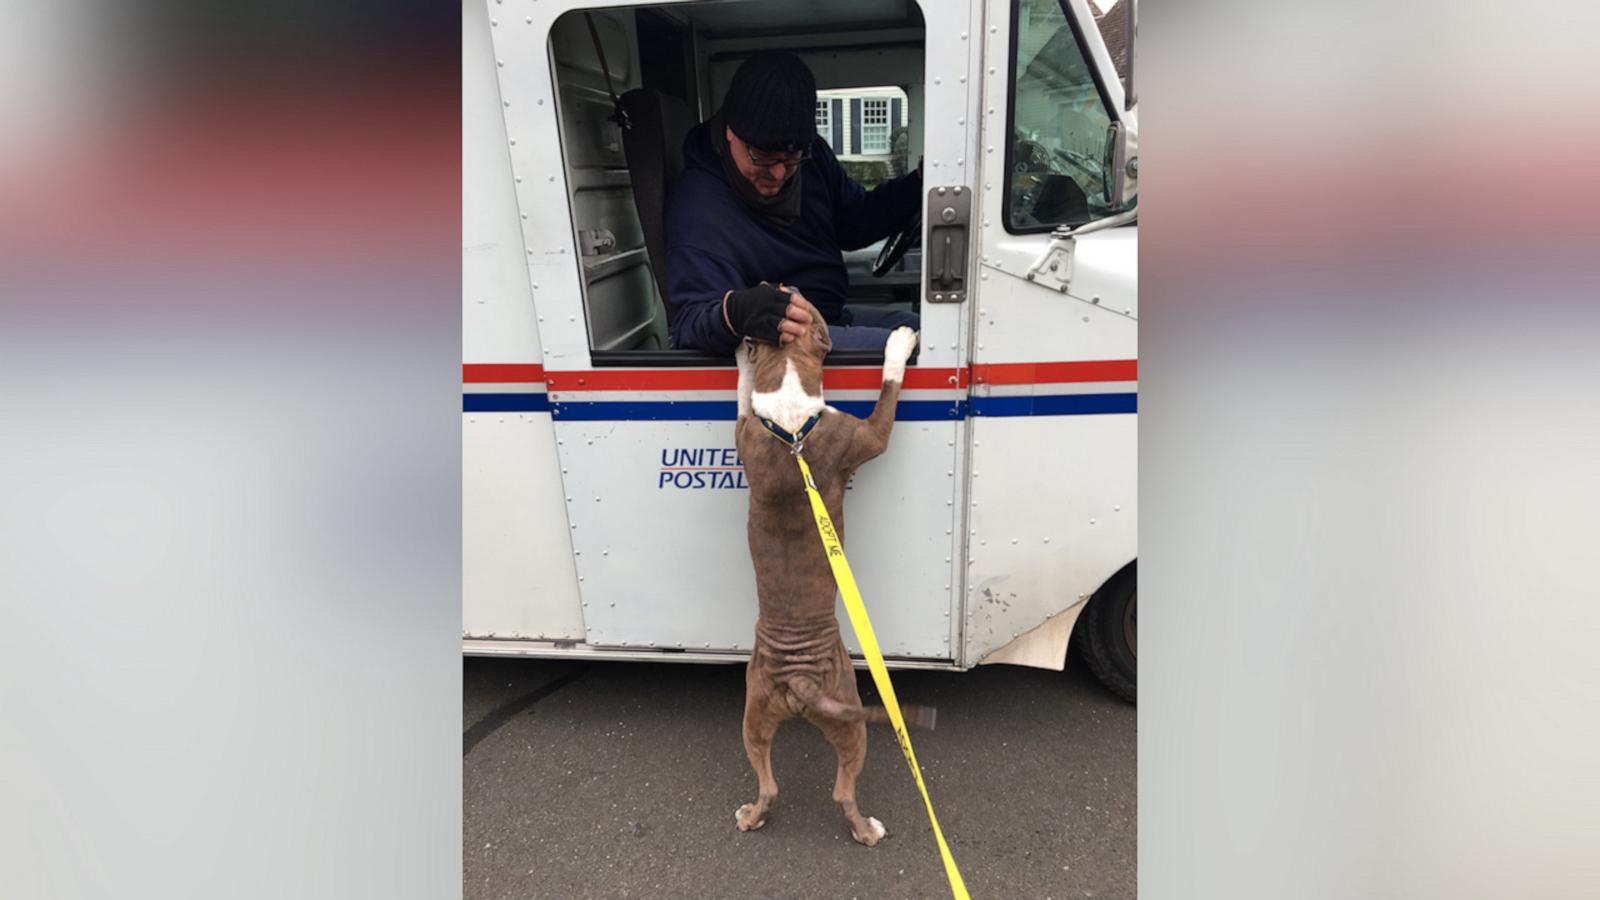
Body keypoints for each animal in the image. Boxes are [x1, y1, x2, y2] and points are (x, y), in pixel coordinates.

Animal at [732, 305, 934, 839]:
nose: (778, 290)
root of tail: (797, 678)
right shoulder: (870, 435)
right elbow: (889, 387)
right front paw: (900, 345)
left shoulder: (745, 429)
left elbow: (742, 393)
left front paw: (741, 357)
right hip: (850, 718)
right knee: (843, 790)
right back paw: (867, 831)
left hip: (753, 717)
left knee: (768, 783)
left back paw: (751, 817)